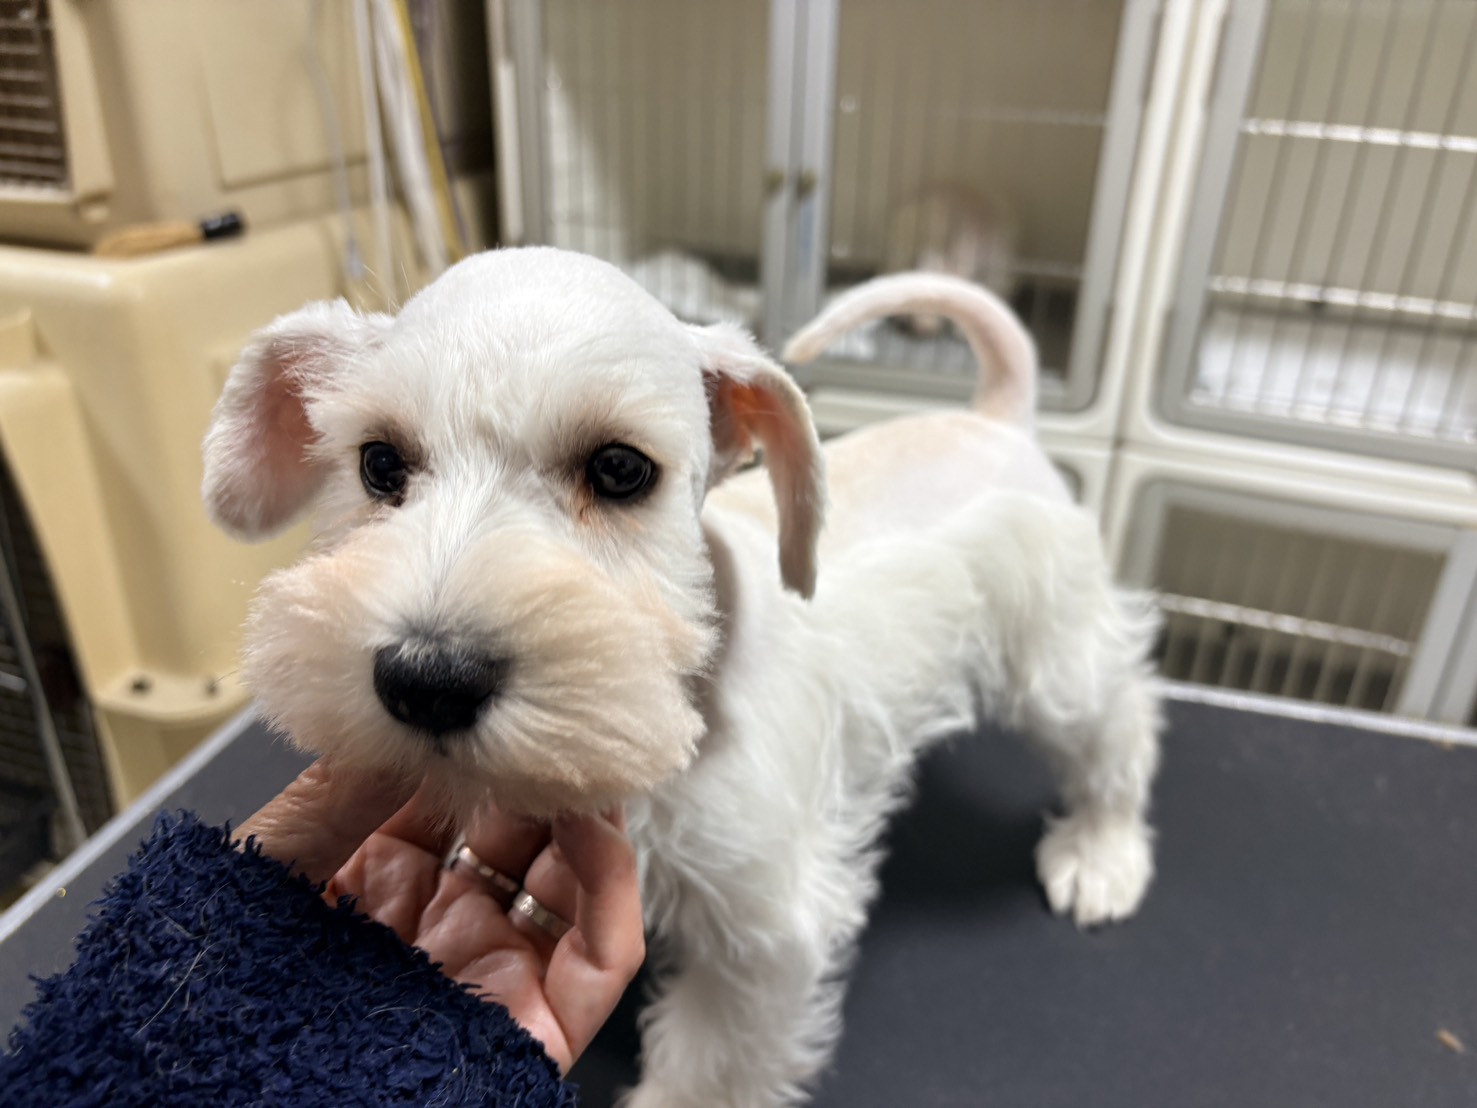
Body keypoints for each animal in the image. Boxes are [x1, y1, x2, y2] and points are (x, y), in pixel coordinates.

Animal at [202, 249, 1161, 1107]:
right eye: (379, 464)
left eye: (620, 468)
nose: (427, 679)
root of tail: (997, 419)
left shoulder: (763, 931)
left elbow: (711, 1063)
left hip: (1059, 662)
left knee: (1120, 727)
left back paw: (1100, 855)